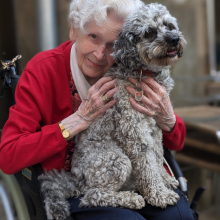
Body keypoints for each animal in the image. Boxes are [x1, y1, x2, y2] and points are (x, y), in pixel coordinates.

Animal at [39, 3, 186, 220]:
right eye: (149, 32)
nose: (174, 39)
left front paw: (165, 180)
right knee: (92, 196)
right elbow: (147, 166)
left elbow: (158, 156)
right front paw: (158, 194)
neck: (142, 73)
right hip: (116, 160)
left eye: (169, 25)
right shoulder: (134, 132)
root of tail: (74, 180)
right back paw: (131, 199)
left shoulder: (155, 127)